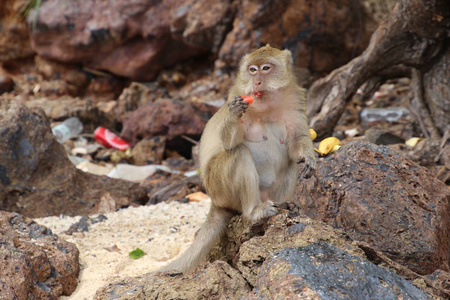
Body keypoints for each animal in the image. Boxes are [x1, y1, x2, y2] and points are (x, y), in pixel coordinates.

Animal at [158, 44, 316, 274]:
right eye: (252, 70)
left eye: (265, 68)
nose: (257, 82)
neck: (266, 105)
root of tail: (215, 201)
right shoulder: (238, 97)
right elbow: (229, 142)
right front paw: (233, 114)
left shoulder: (295, 101)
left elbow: (298, 141)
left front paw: (309, 158)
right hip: (221, 190)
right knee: (238, 154)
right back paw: (253, 212)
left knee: (289, 163)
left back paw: (285, 205)